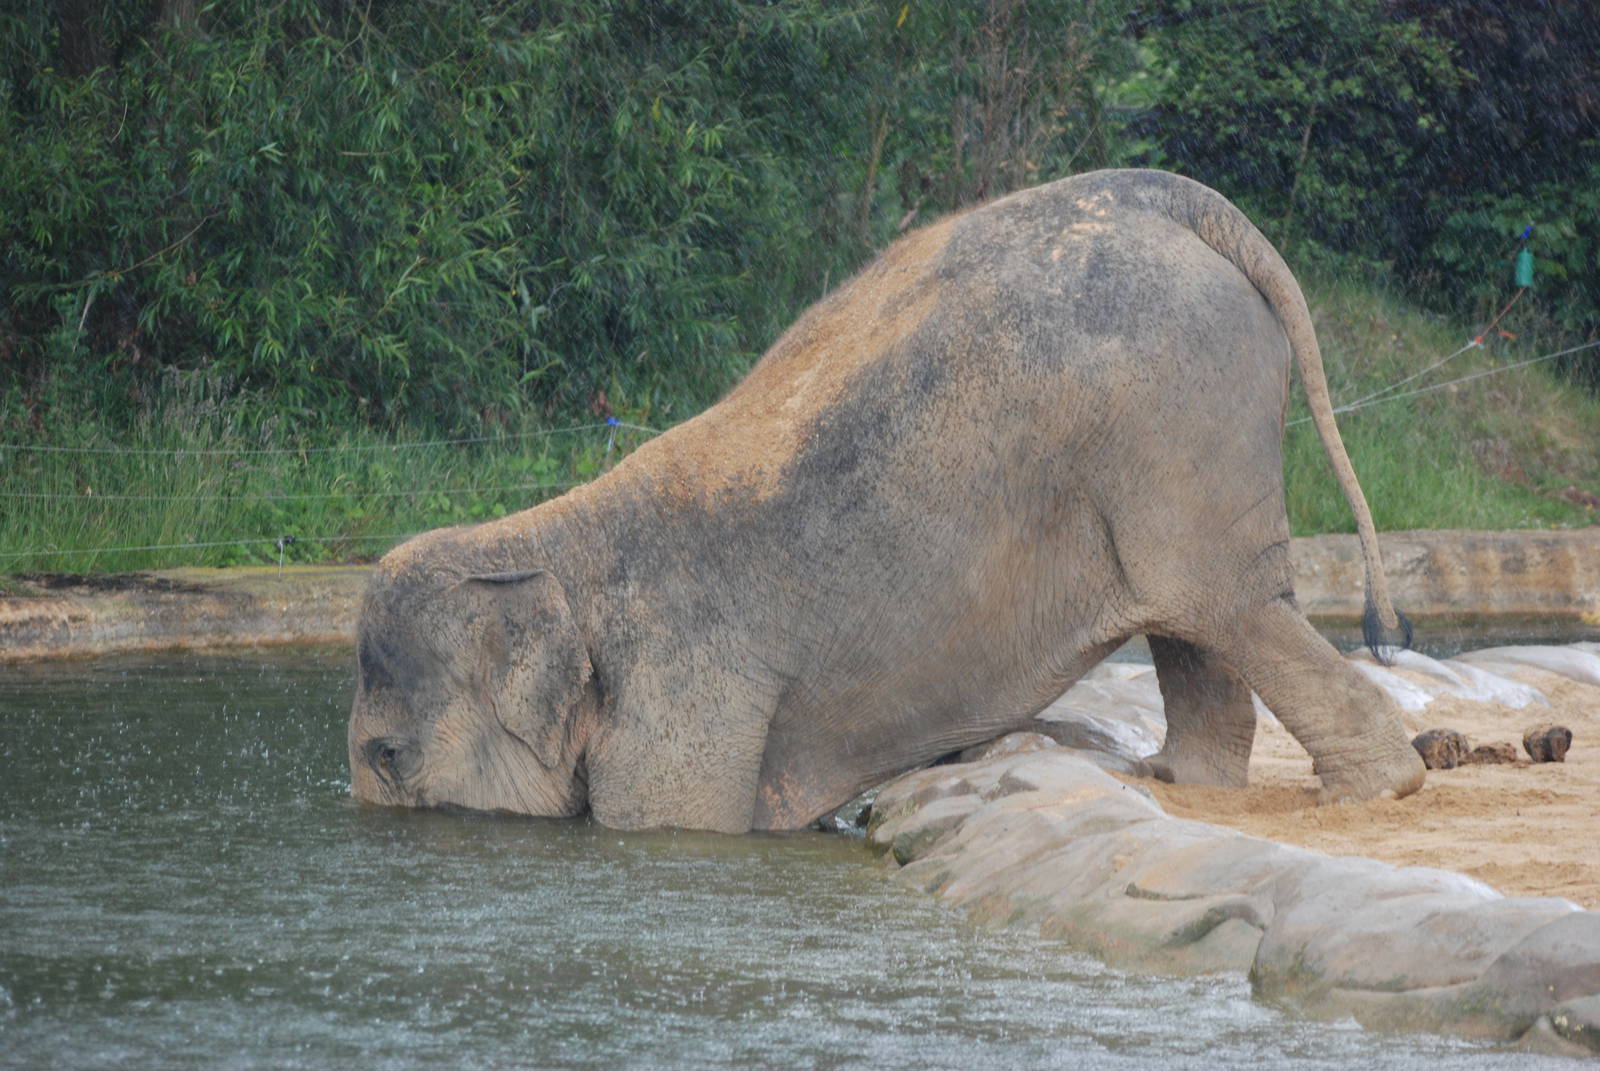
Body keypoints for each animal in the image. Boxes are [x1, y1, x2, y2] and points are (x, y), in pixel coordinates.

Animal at [348, 168, 1427, 833]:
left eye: (387, 756)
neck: (545, 539)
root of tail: (1180, 201)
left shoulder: (685, 692)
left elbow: (675, 823)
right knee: (1192, 617)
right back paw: (1167, 780)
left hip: (1174, 418)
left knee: (1225, 604)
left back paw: (1379, 791)